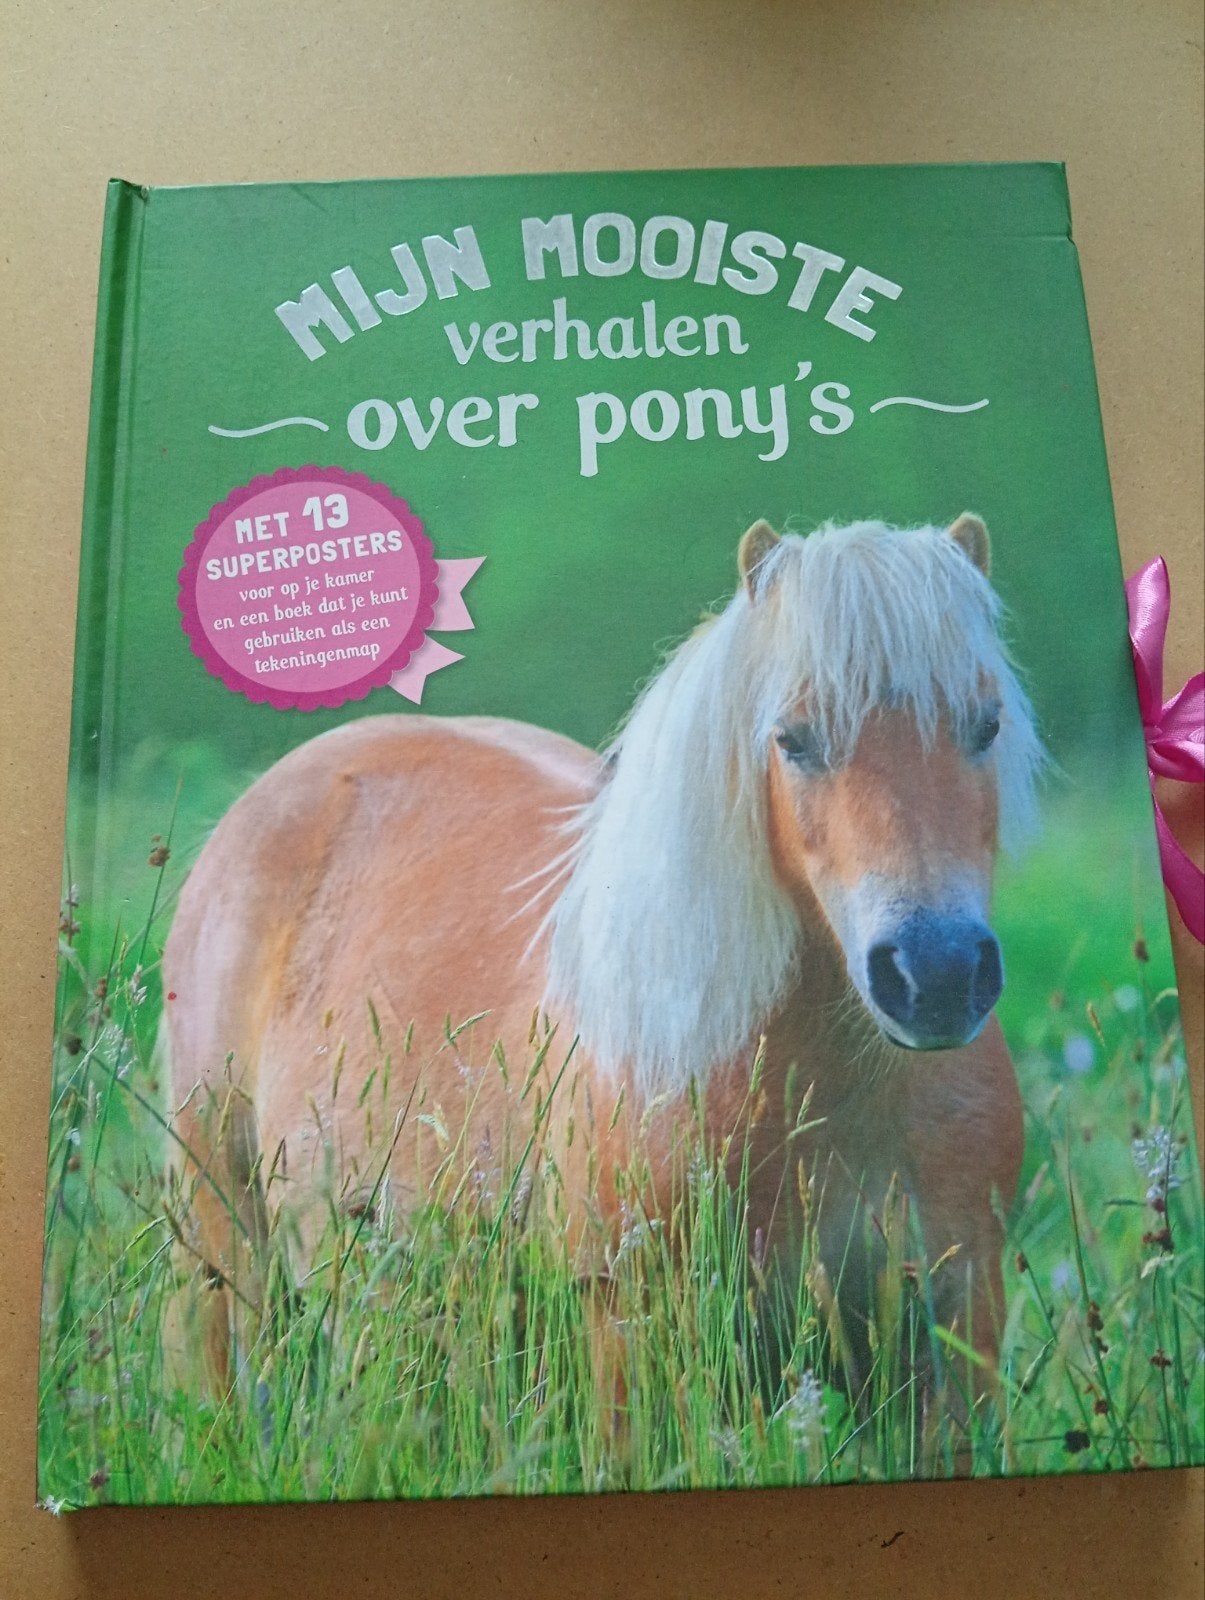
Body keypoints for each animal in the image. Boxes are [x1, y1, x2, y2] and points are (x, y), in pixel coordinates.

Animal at [162, 512, 1043, 1439]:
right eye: (793, 740)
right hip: (232, 1264)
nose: (935, 975)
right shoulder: (636, 1345)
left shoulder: (947, 1349)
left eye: (985, 726)